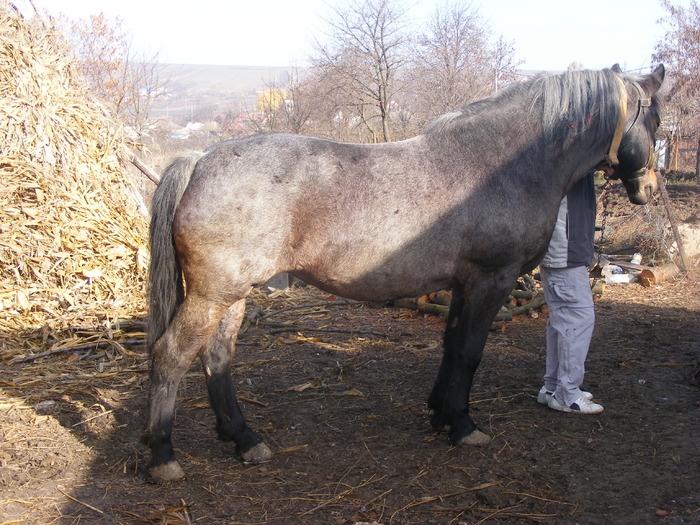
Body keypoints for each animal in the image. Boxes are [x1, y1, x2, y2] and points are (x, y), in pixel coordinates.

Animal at [146, 63, 660, 482]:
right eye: (655, 119)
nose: (650, 189)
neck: (503, 165)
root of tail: (199, 161)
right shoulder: (491, 281)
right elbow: (470, 352)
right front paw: (464, 425)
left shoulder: (462, 286)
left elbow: (451, 346)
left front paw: (440, 413)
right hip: (214, 294)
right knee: (171, 355)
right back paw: (162, 456)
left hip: (232, 295)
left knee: (217, 356)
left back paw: (245, 439)